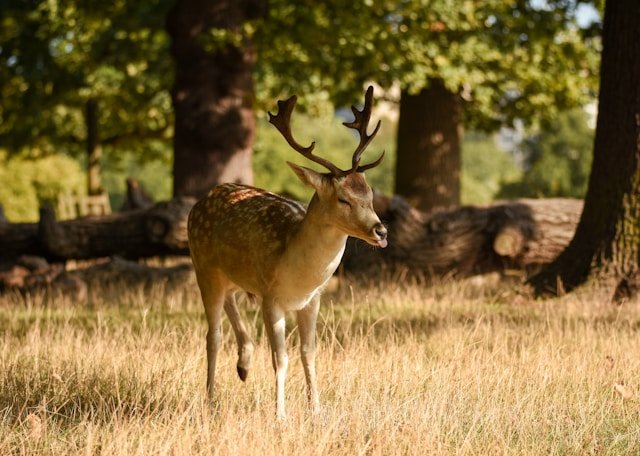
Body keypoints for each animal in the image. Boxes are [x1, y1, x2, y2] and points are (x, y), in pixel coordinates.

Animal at [188, 85, 388, 420]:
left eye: (370, 194)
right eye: (343, 199)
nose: (381, 231)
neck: (297, 272)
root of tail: (202, 200)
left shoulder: (313, 299)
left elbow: (309, 353)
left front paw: (316, 409)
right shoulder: (271, 297)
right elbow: (280, 358)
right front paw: (280, 414)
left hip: (233, 277)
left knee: (231, 303)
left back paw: (244, 365)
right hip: (203, 267)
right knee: (212, 335)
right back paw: (211, 401)